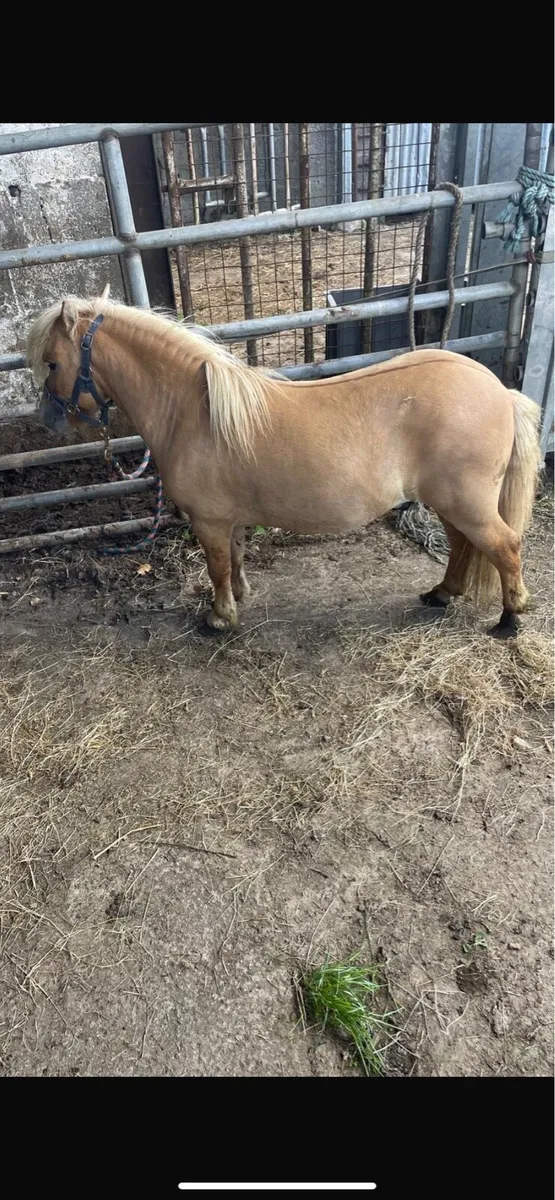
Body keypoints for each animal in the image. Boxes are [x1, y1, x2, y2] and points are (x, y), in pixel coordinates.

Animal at [27, 289, 541, 639]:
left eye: (52, 363)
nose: (47, 420)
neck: (194, 412)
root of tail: (499, 390)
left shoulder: (208, 521)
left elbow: (216, 567)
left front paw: (219, 617)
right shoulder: (229, 519)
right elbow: (234, 559)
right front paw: (240, 598)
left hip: (466, 502)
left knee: (505, 547)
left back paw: (509, 620)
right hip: (451, 503)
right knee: (464, 546)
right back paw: (441, 594)